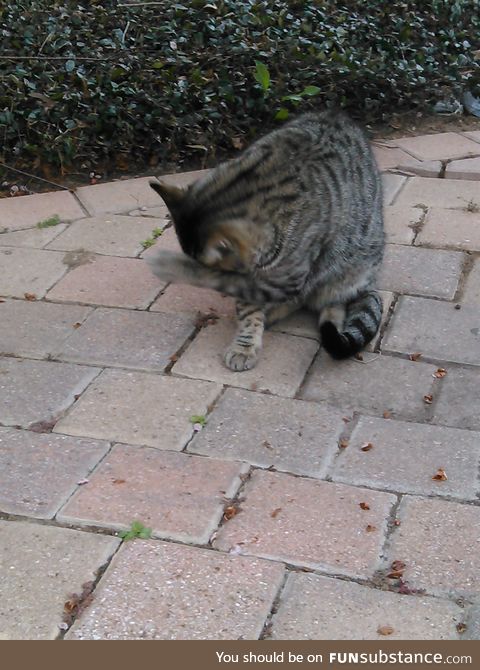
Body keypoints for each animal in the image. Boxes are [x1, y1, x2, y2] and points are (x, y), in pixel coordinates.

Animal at [145, 110, 382, 372]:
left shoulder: (286, 278)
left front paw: (175, 267)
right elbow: (249, 311)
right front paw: (245, 344)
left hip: (346, 272)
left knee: (331, 302)